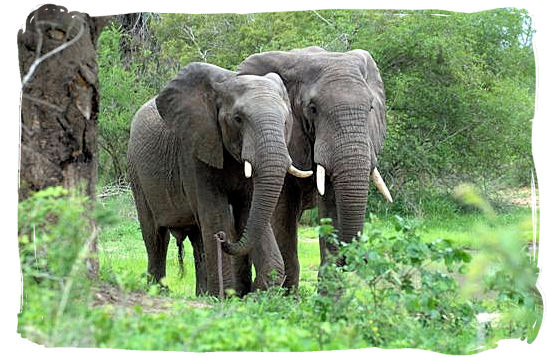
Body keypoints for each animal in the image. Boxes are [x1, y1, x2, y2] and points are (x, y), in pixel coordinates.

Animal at [126, 61, 312, 296]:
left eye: (286, 121)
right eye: (238, 119)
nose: (222, 238)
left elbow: (249, 211)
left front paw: (256, 295)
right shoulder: (194, 151)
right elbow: (215, 215)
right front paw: (225, 297)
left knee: (197, 239)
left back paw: (202, 294)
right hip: (137, 174)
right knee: (156, 237)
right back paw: (160, 292)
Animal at [222, 46, 394, 290]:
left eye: (370, 107)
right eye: (313, 109)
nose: (363, 259)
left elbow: (331, 203)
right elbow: (282, 212)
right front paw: (285, 296)